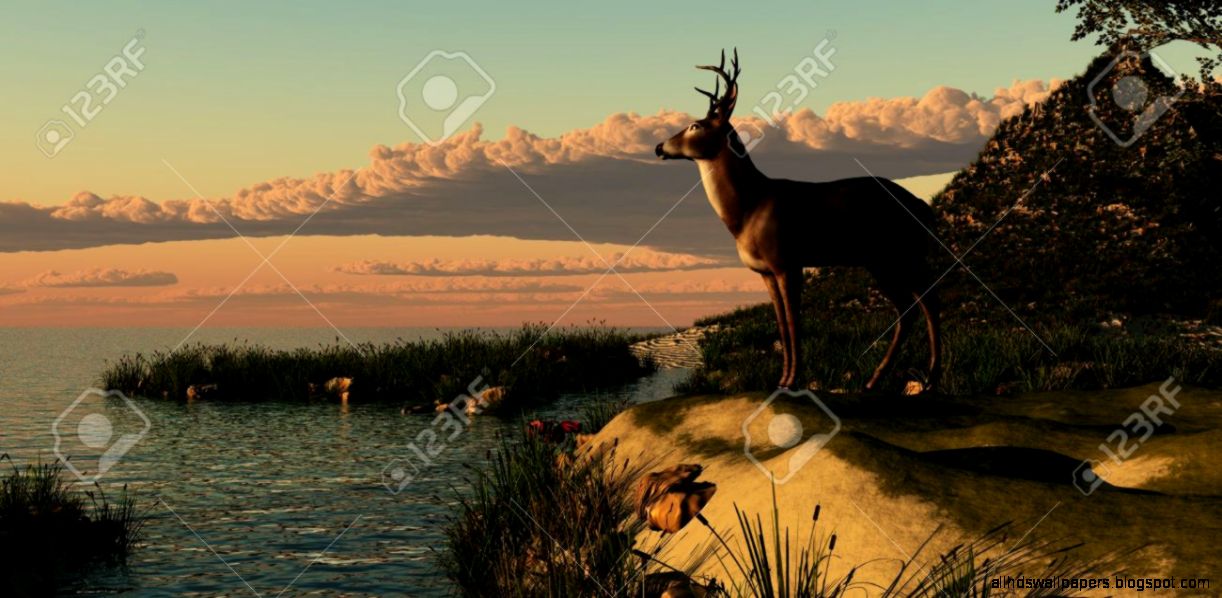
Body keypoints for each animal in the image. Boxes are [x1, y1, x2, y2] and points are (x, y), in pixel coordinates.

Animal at [655, 49, 941, 393]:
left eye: (695, 125)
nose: (659, 146)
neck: (747, 209)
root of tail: (922, 206)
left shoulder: (787, 262)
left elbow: (794, 322)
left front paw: (793, 381)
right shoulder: (766, 272)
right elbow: (780, 324)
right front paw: (782, 378)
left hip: (896, 255)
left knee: (926, 299)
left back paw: (928, 378)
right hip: (885, 260)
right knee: (911, 305)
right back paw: (878, 381)